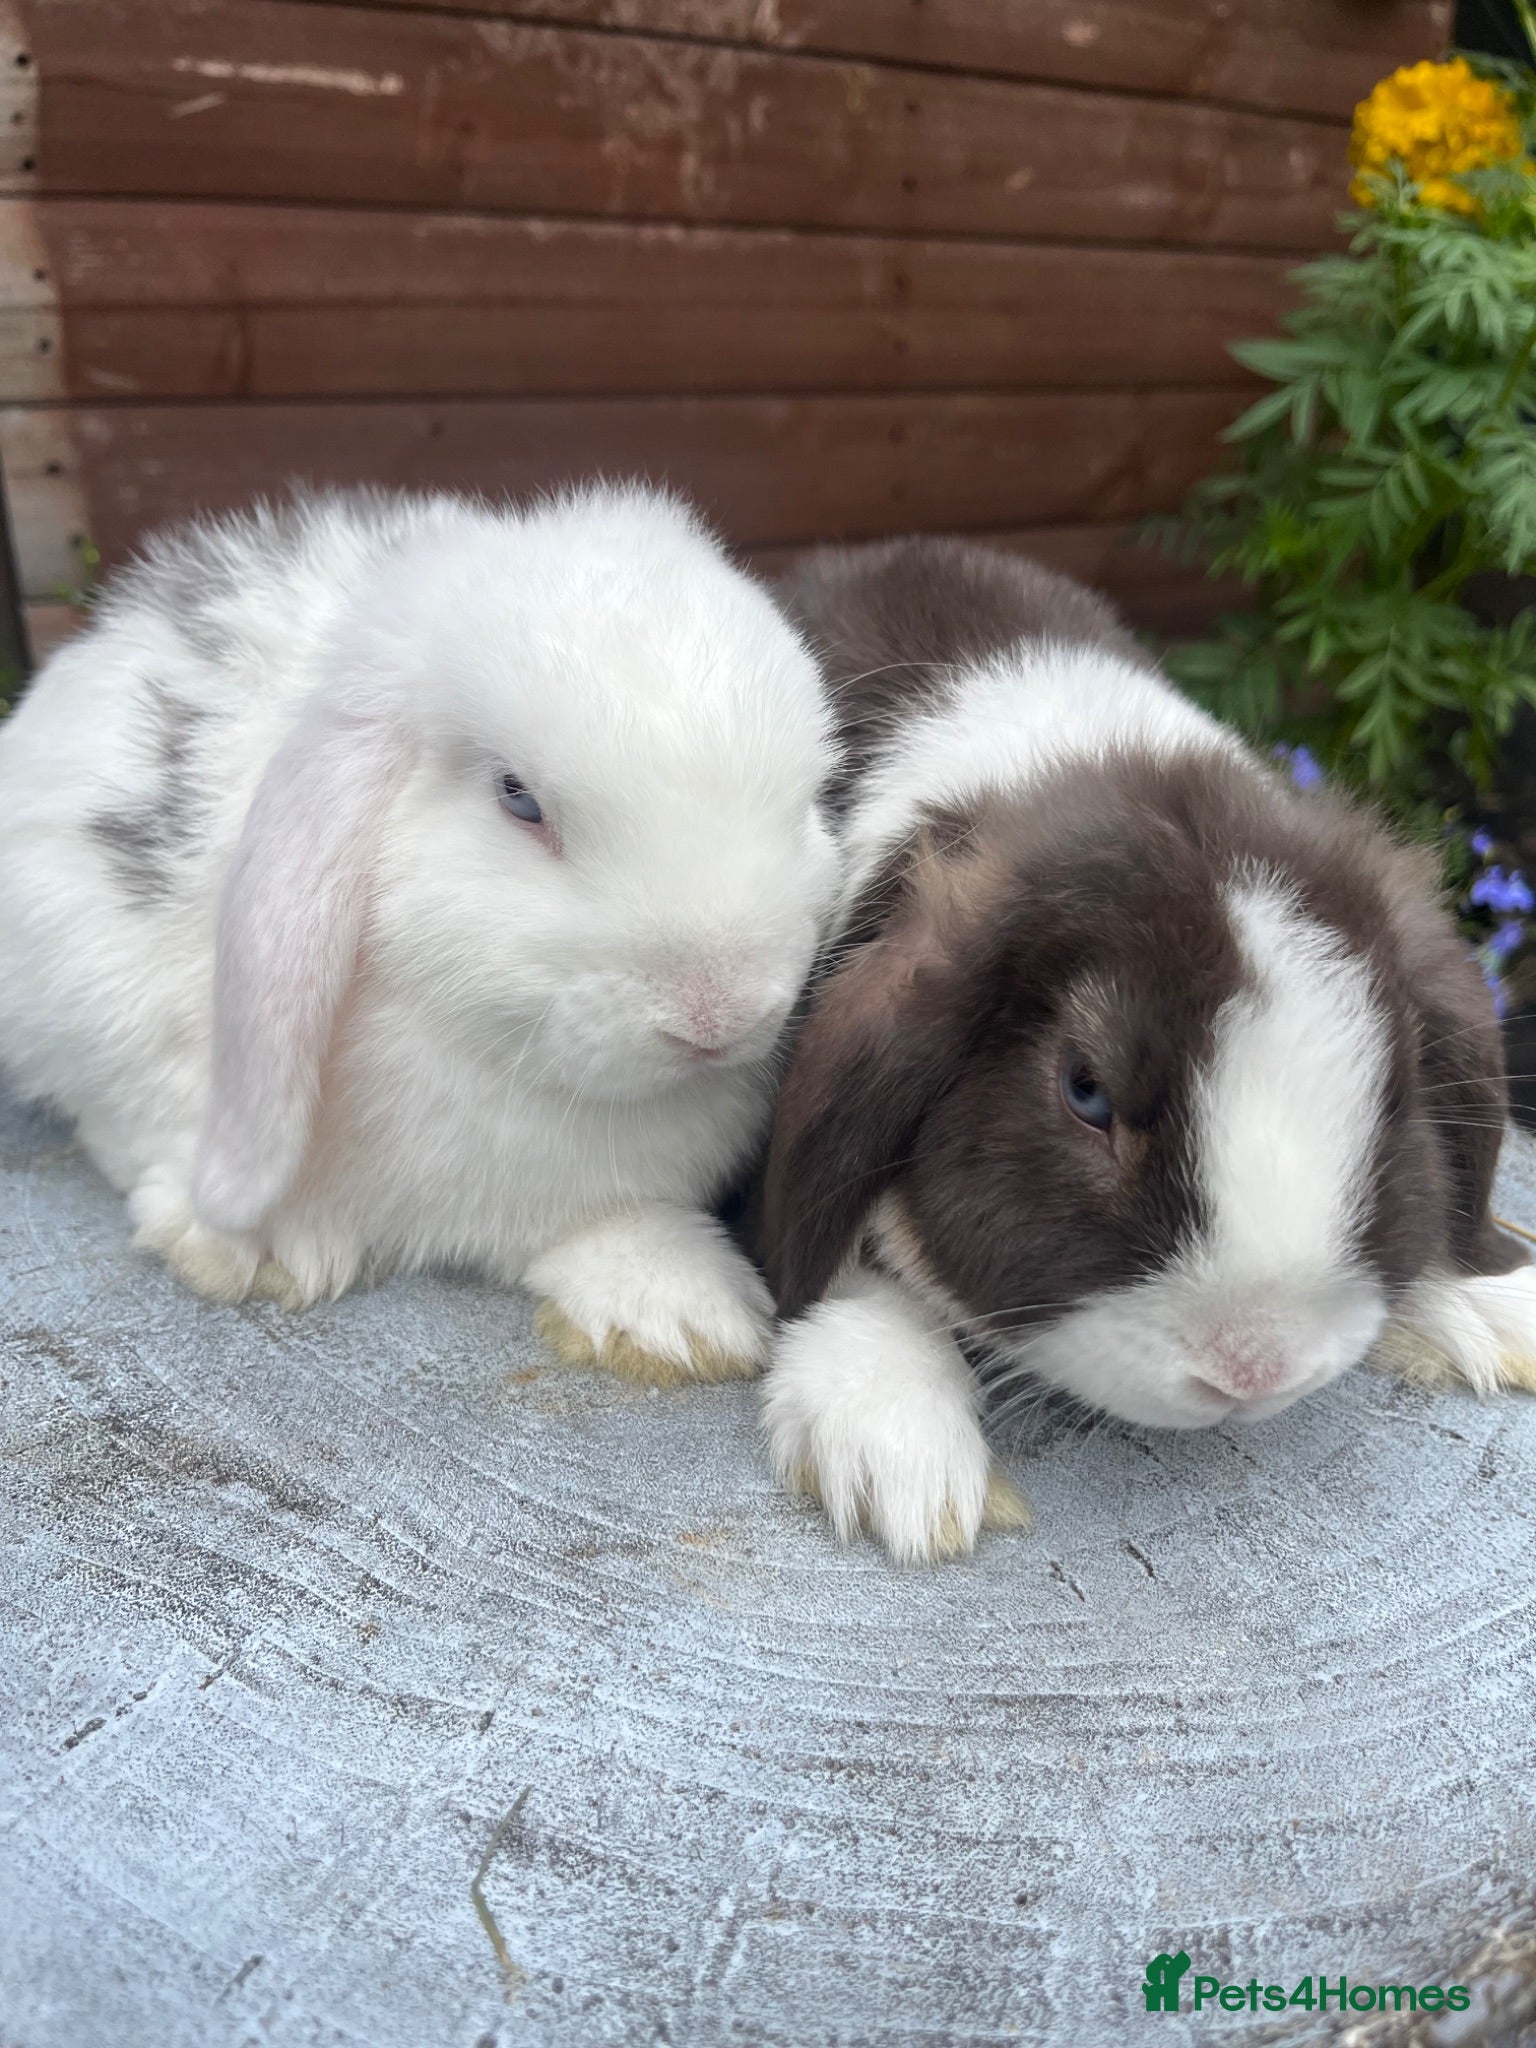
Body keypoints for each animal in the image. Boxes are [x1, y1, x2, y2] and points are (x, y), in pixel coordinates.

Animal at [0, 483, 841, 1386]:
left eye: (807, 801)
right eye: (517, 798)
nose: (721, 1013)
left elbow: (617, 1226)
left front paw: (679, 1318)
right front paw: (249, 1248)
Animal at [755, 535, 1536, 1561]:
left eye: (1397, 1090)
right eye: (1085, 1092)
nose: (1253, 1368)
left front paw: (1497, 1293)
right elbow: (839, 1248)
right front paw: (894, 1441)